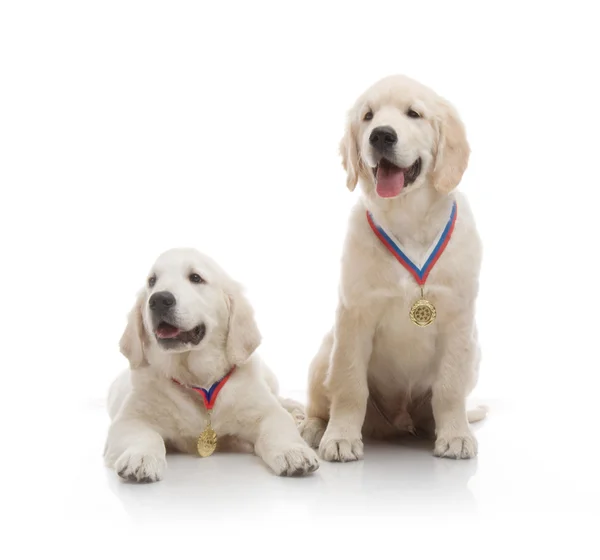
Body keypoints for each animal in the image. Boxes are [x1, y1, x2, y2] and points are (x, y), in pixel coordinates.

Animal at [104, 249, 318, 482]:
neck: (199, 381)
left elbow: (278, 426)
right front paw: (140, 458)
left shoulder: (264, 411)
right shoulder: (130, 419)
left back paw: (297, 411)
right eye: (152, 281)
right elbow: (145, 437)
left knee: (279, 398)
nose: (159, 299)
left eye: (196, 278)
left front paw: (293, 453)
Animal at [302, 74, 486, 462]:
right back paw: (314, 427)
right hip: (326, 349)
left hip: (475, 352)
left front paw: (456, 435)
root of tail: (399, 421)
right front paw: (340, 438)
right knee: (321, 398)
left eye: (413, 113)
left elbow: (449, 387)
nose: (381, 135)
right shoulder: (354, 315)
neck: (408, 218)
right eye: (368, 116)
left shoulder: (458, 318)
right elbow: (350, 384)